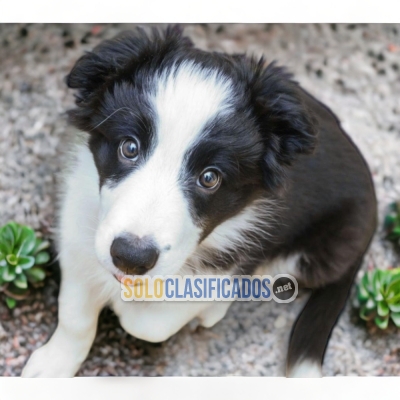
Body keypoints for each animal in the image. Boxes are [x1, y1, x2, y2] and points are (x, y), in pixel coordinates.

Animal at [21, 25, 376, 378]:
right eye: (129, 147)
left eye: (209, 177)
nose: (131, 258)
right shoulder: (78, 236)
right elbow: (74, 316)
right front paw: (54, 364)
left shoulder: (233, 256)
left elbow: (149, 322)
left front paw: (127, 308)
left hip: (319, 250)